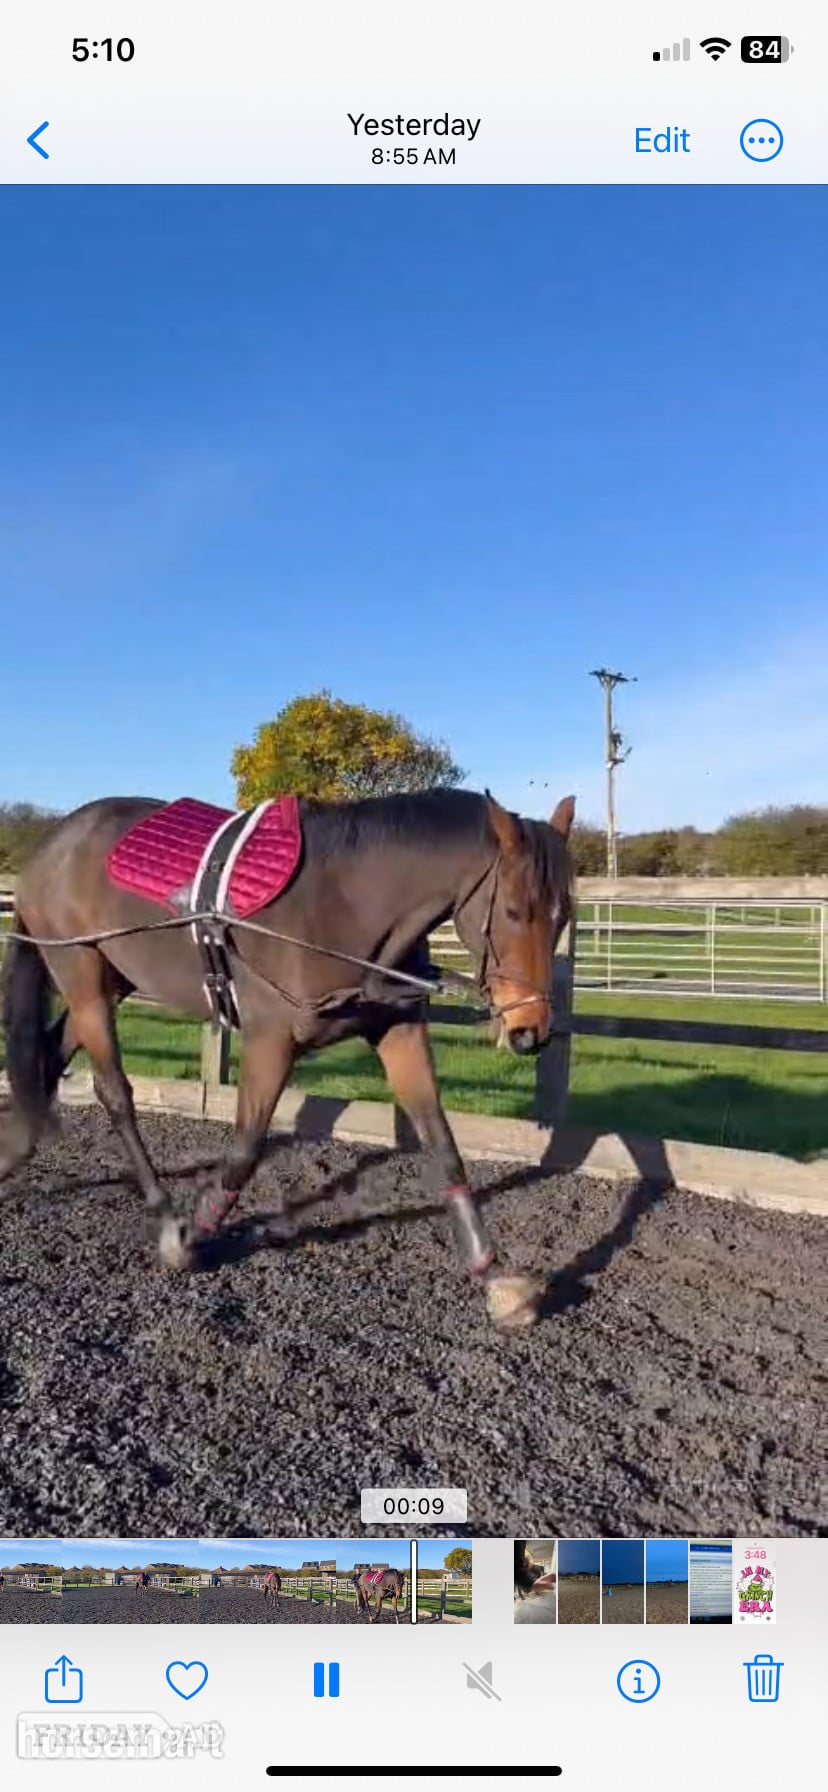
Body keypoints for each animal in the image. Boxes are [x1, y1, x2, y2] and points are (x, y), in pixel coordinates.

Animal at [0, 785, 575, 1328]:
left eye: (563, 915)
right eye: (513, 911)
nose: (529, 1031)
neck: (345, 903)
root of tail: (55, 843)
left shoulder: (399, 1032)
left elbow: (442, 1142)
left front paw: (491, 1273)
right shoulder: (269, 1041)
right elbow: (245, 1150)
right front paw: (189, 1236)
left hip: (111, 980)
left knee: (48, 1057)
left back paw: (14, 1150)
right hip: (83, 979)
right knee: (114, 1092)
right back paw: (161, 1211)